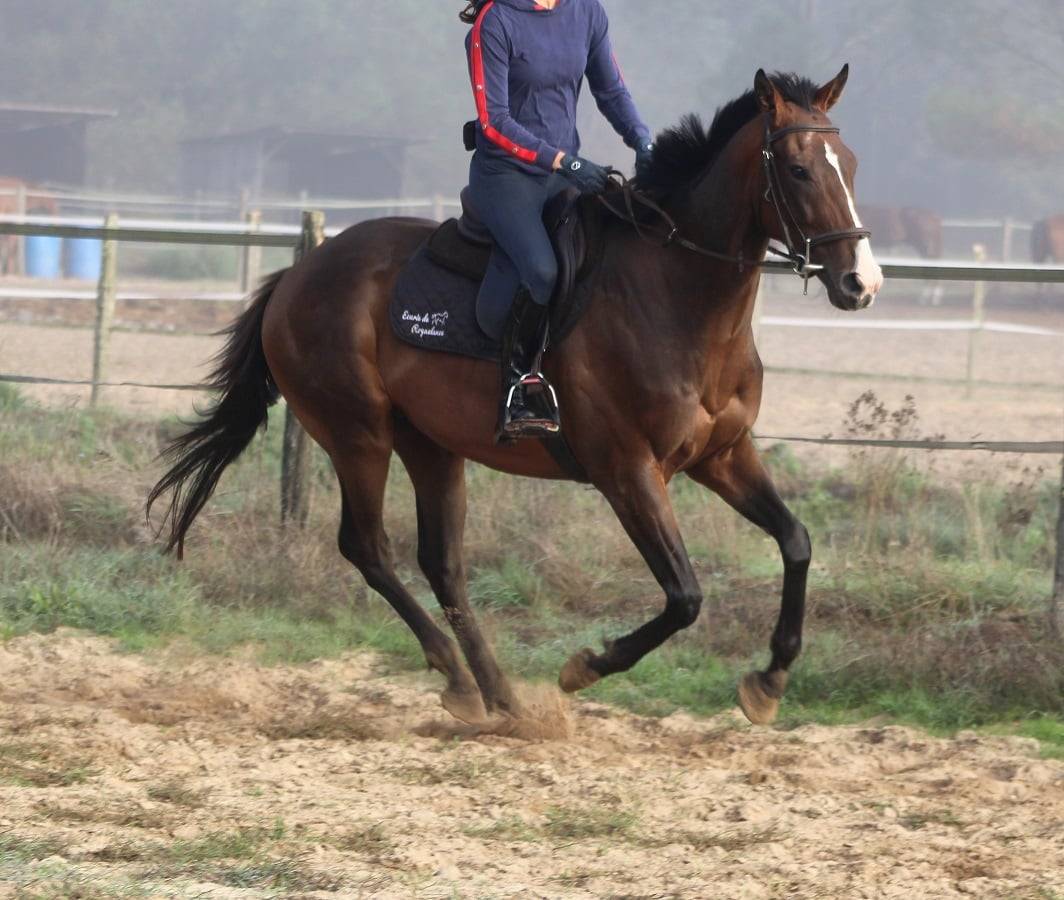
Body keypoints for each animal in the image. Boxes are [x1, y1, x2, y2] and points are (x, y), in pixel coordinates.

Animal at [148, 66, 882, 728]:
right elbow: (684, 597)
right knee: (369, 548)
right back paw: (458, 679)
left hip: (431, 446)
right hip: (359, 436)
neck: (677, 298)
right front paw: (585, 666)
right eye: (798, 171)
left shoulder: (723, 455)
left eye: (848, 164)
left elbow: (796, 541)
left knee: (441, 563)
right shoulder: (628, 471)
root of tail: (298, 275)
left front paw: (769, 680)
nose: (861, 283)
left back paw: (499, 697)